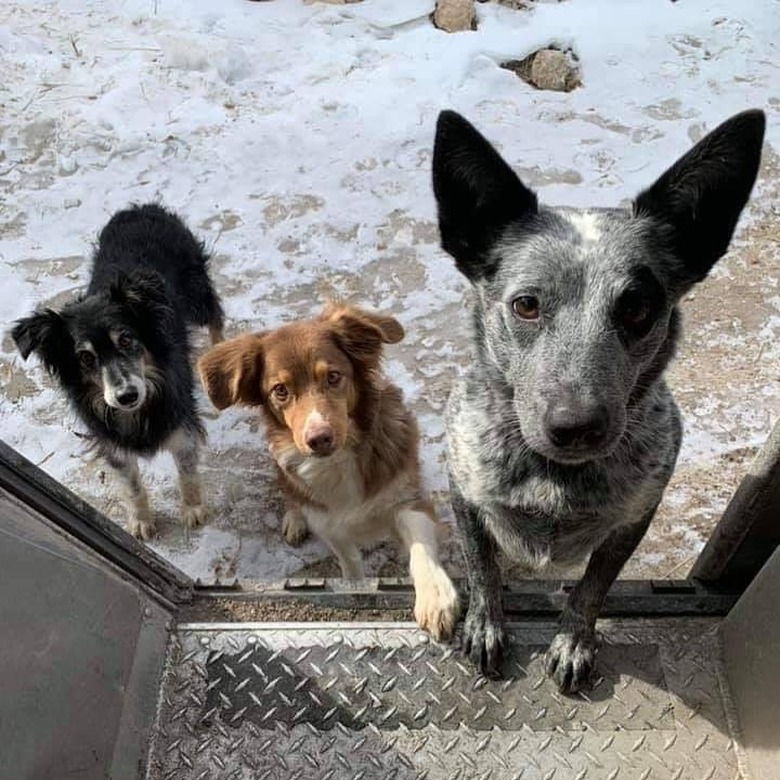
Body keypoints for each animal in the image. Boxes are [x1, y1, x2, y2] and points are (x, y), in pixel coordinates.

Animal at [12, 204, 225, 540]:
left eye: (126, 340)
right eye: (85, 357)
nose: (127, 396)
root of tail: (141, 207)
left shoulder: (181, 425)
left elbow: (187, 471)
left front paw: (193, 509)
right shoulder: (111, 443)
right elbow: (132, 486)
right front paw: (141, 521)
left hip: (196, 290)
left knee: (215, 313)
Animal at [198, 304, 460, 640]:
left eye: (334, 377)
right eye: (280, 390)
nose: (319, 438)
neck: (340, 459)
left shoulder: (407, 497)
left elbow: (420, 547)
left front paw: (436, 597)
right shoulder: (329, 522)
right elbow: (350, 564)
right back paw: (295, 519)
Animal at [436, 108, 764, 688]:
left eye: (636, 308)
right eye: (526, 305)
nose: (576, 425)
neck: (555, 478)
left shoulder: (636, 514)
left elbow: (595, 585)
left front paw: (573, 641)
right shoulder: (464, 489)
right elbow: (482, 567)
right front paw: (485, 624)